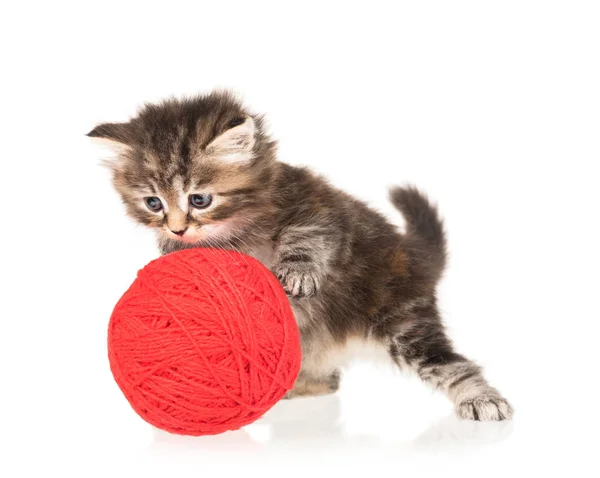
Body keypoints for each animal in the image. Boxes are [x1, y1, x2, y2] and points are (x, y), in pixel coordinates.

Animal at [91, 91, 512, 420]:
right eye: (153, 203)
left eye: (199, 199)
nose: (177, 229)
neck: (234, 231)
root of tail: (413, 256)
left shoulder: (319, 209)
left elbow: (305, 235)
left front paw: (297, 273)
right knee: (331, 380)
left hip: (400, 318)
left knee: (449, 363)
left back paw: (481, 398)